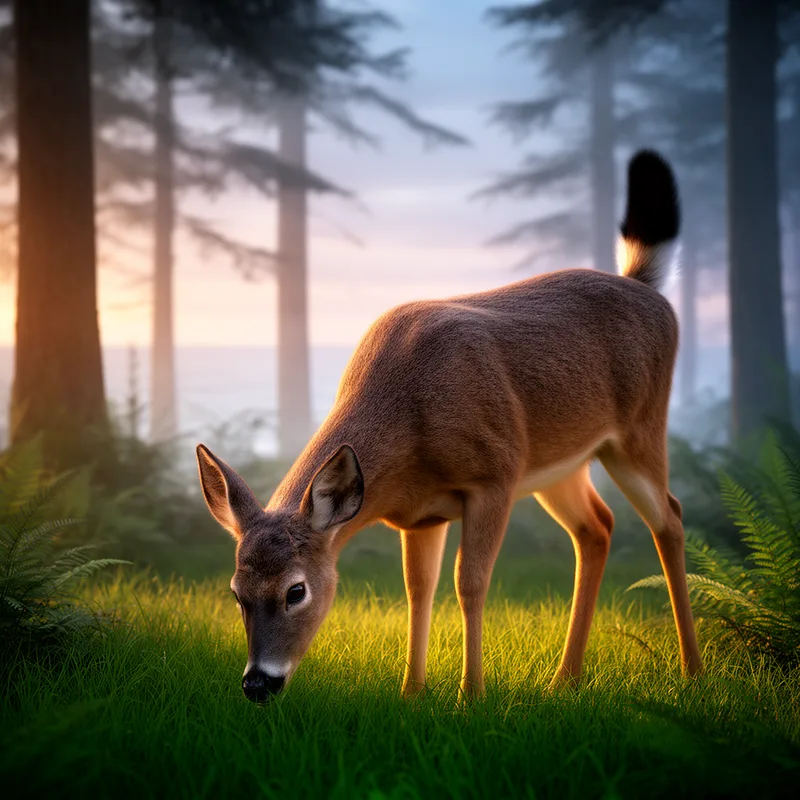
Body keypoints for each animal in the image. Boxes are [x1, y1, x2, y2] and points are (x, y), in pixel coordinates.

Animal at [196, 149, 703, 704]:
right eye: (236, 593)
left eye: (296, 590)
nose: (257, 683)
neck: (410, 421)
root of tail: (645, 286)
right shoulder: (420, 514)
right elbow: (418, 590)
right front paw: (411, 692)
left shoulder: (494, 474)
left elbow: (470, 583)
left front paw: (470, 695)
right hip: (560, 467)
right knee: (598, 528)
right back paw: (563, 679)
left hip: (638, 430)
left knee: (670, 518)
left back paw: (692, 672)